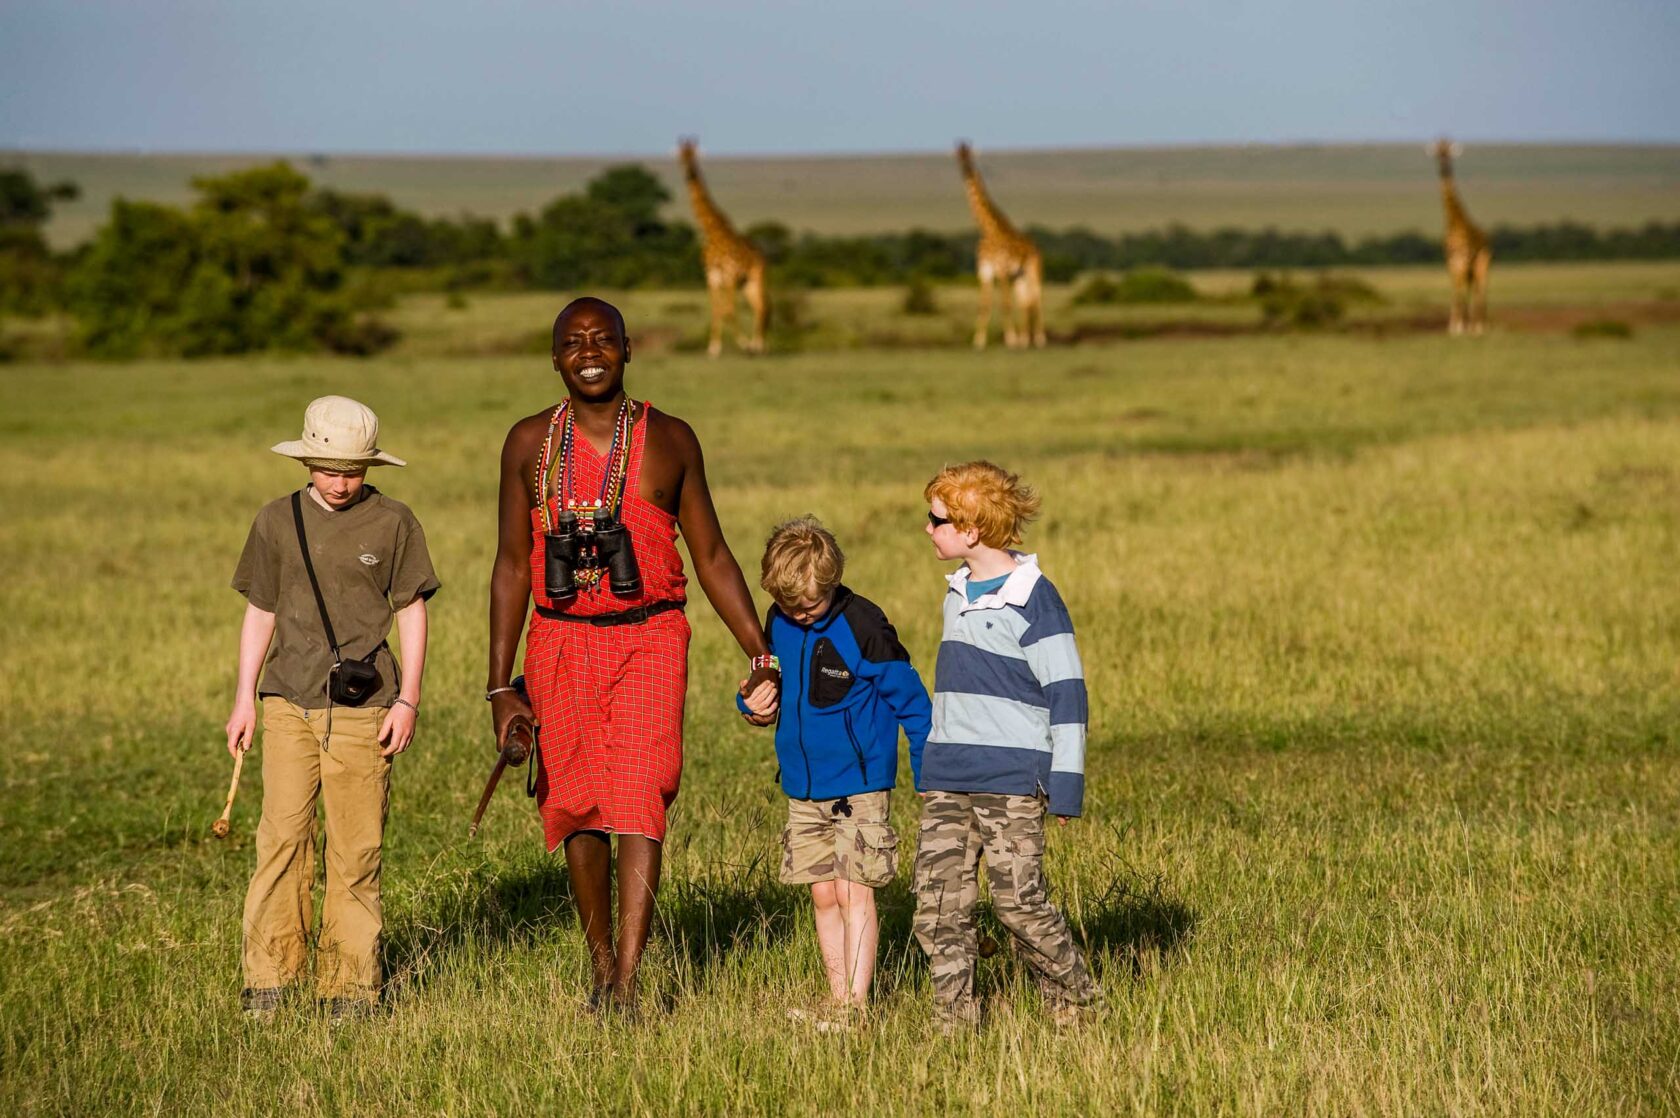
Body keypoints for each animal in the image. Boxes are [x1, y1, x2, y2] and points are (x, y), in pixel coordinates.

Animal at [675, 138, 769, 358]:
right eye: (681, 154)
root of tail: (761, 254)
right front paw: (713, 348)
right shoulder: (711, 276)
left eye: (693, 154)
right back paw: (757, 345)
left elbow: (729, 310)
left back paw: (757, 346)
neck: (712, 232)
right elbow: (716, 310)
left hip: (756, 277)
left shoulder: (729, 275)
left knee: (762, 307)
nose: (687, 169)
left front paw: (743, 343)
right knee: (758, 307)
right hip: (746, 284)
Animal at [954, 142, 1041, 349]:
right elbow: (984, 305)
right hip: (1019, 275)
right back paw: (1026, 339)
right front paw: (978, 341)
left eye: (969, 154)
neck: (989, 230)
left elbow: (1005, 304)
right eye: (958, 154)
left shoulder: (1002, 270)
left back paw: (1039, 338)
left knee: (1037, 298)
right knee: (1025, 301)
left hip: (1032, 269)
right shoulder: (984, 272)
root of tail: (1033, 245)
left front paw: (1011, 339)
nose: (965, 168)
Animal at [1431, 138, 1498, 336]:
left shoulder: (1458, 260)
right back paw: (1477, 324)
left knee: (1479, 288)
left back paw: (1478, 326)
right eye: (1438, 151)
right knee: (1475, 287)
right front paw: (1456, 326)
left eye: (1448, 151)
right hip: (1474, 266)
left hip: (1481, 262)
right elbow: (1456, 289)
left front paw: (1458, 327)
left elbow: (1458, 288)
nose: (1442, 164)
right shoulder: (1452, 261)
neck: (1454, 220)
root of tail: (1487, 239)